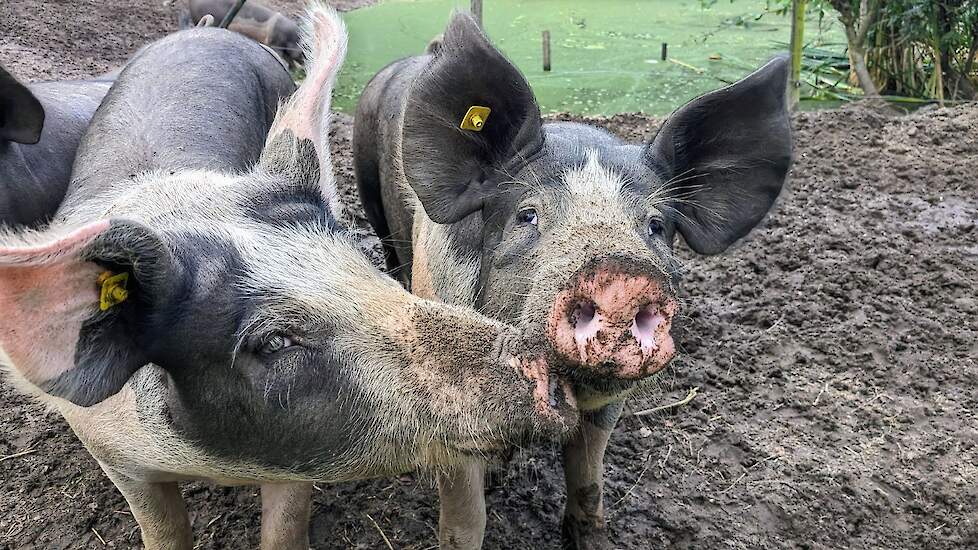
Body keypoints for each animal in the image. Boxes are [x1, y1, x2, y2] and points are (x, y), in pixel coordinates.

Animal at [352, 12, 792, 550]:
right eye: (527, 215)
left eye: (656, 225)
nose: (620, 276)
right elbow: (465, 517)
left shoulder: (609, 402)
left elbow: (588, 478)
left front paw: (590, 537)